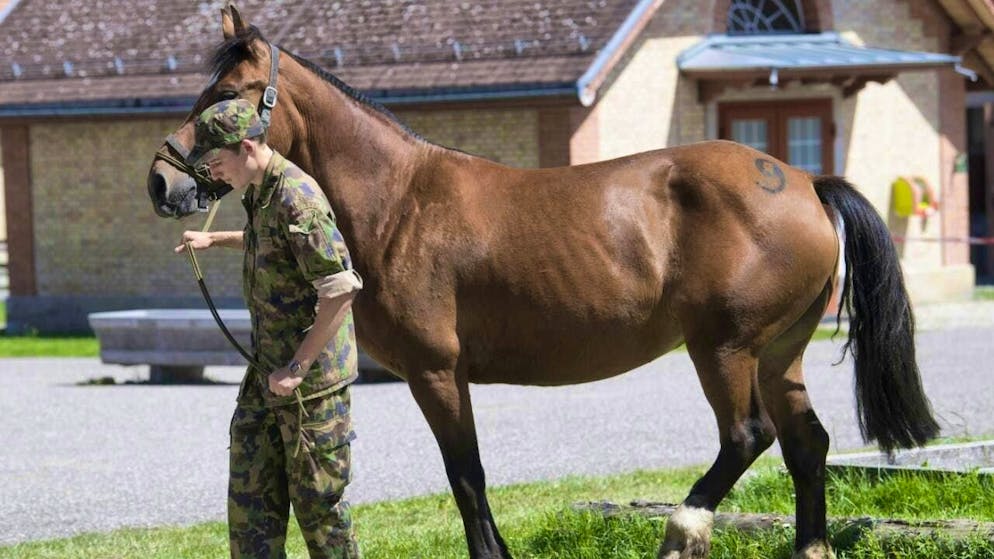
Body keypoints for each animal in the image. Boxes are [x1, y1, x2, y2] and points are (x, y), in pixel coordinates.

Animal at [146, 6, 939, 558]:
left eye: (228, 94)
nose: (161, 182)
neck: (399, 200)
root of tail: (804, 182)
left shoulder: (436, 372)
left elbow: (467, 475)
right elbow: (467, 476)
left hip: (725, 349)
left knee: (749, 436)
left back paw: (683, 528)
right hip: (779, 354)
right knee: (808, 443)